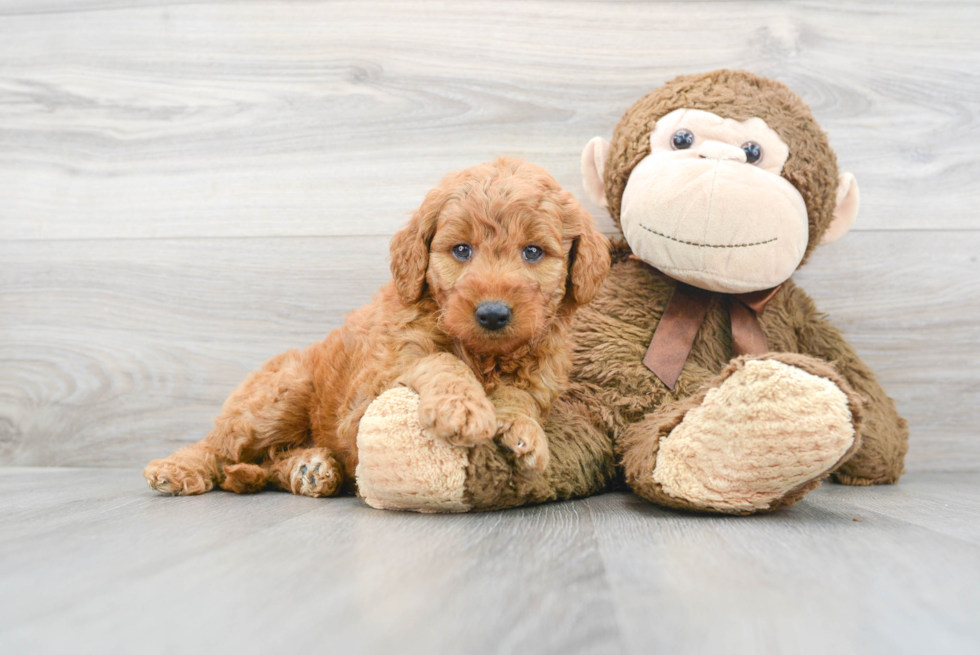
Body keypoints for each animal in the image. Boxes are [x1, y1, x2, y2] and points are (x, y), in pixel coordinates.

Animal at [142, 158, 608, 498]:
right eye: (461, 250)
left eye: (533, 252)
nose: (492, 314)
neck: (485, 355)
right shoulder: (368, 394)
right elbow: (439, 360)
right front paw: (462, 407)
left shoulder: (539, 379)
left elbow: (519, 396)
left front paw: (521, 430)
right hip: (280, 393)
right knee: (221, 448)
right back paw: (177, 469)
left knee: (266, 462)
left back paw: (309, 469)